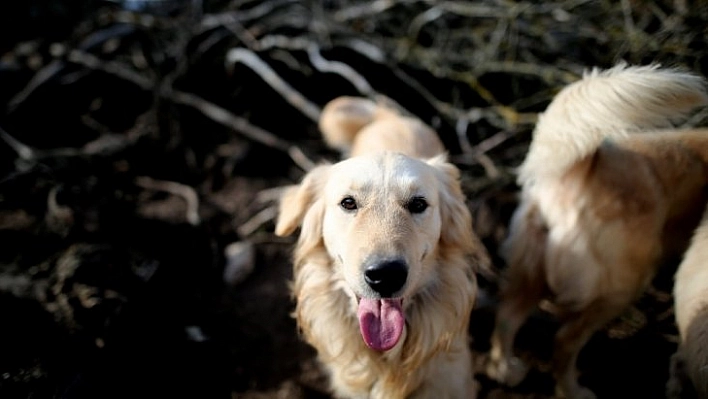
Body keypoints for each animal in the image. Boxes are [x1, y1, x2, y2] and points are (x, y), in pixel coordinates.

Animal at [484, 65, 708, 399]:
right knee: (564, 341)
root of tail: (581, 171)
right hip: (622, 287)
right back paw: (572, 391)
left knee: (507, 317)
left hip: (529, 273)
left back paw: (505, 371)